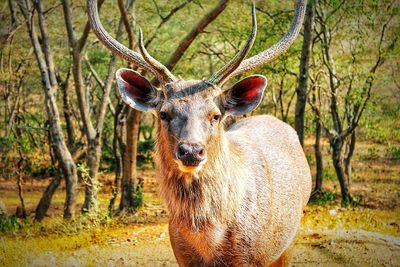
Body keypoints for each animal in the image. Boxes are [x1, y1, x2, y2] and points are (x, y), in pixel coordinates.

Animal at [88, 0, 312, 266]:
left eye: (215, 115)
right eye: (164, 113)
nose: (191, 151)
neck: (210, 245)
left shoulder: (255, 257)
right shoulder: (182, 257)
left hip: (290, 237)